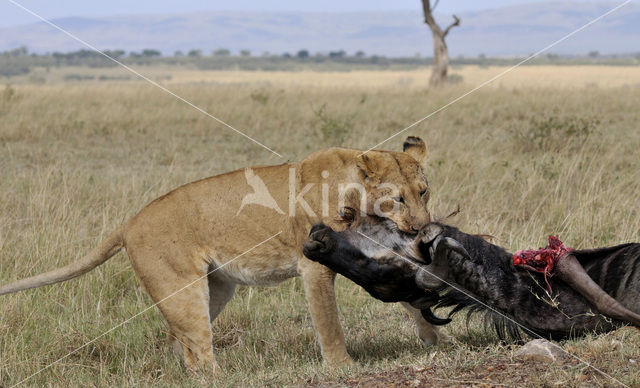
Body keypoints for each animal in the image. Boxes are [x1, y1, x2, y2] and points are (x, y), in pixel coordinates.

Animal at [0, 136, 444, 372]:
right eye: (397, 198)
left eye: (423, 192)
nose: (422, 229)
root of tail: (129, 223)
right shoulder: (314, 264)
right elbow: (329, 322)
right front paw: (342, 367)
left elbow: (410, 299)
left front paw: (433, 339)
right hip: (183, 290)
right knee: (197, 351)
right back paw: (221, 375)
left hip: (214, 289)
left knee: (183, 344)